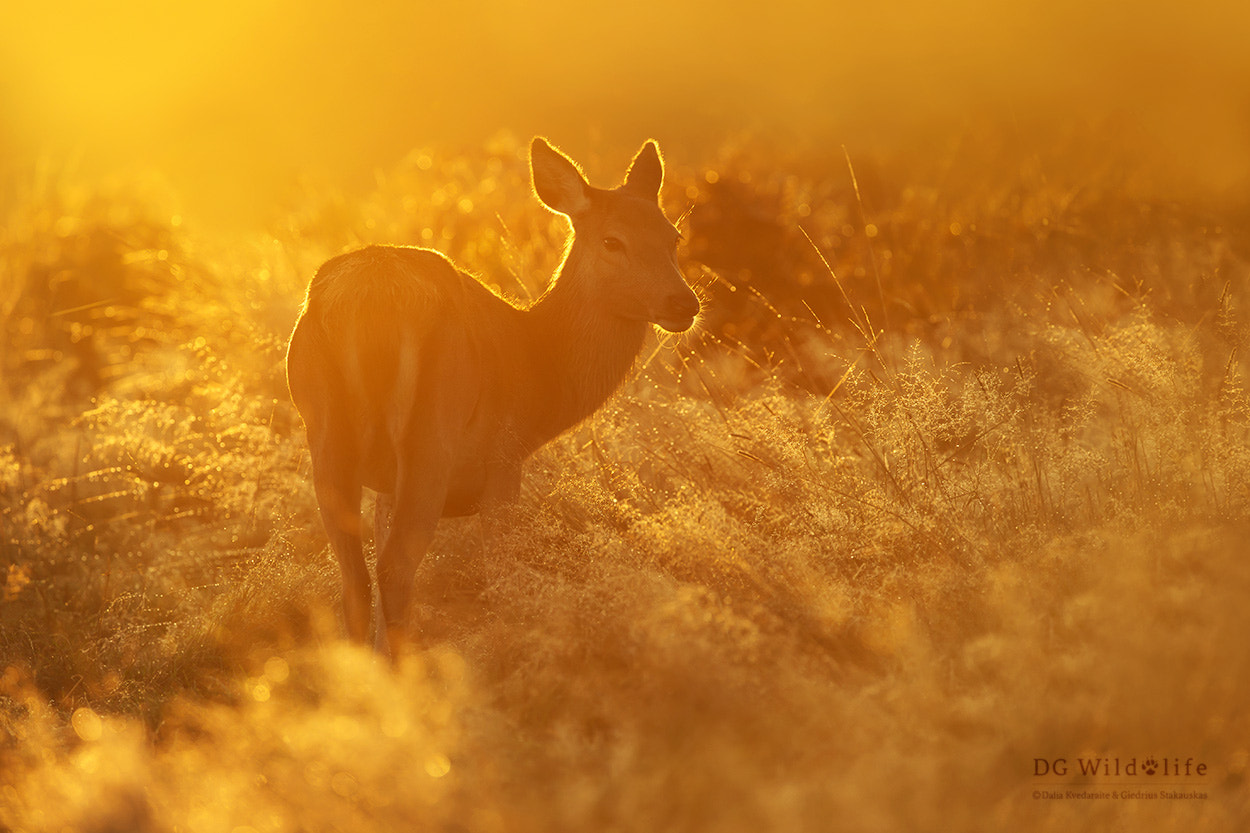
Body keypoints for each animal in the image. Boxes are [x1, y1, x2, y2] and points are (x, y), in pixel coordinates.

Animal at [286, 137, 705, 655]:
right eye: (612, 240)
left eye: (673, 237)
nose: (683, 303)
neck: (539, 374)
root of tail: (365, 303)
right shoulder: (503, 461)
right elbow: (505, 577)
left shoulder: (387, 486)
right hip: (431, 431)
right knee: (395, 569)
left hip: (325, 433)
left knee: (354, 580)